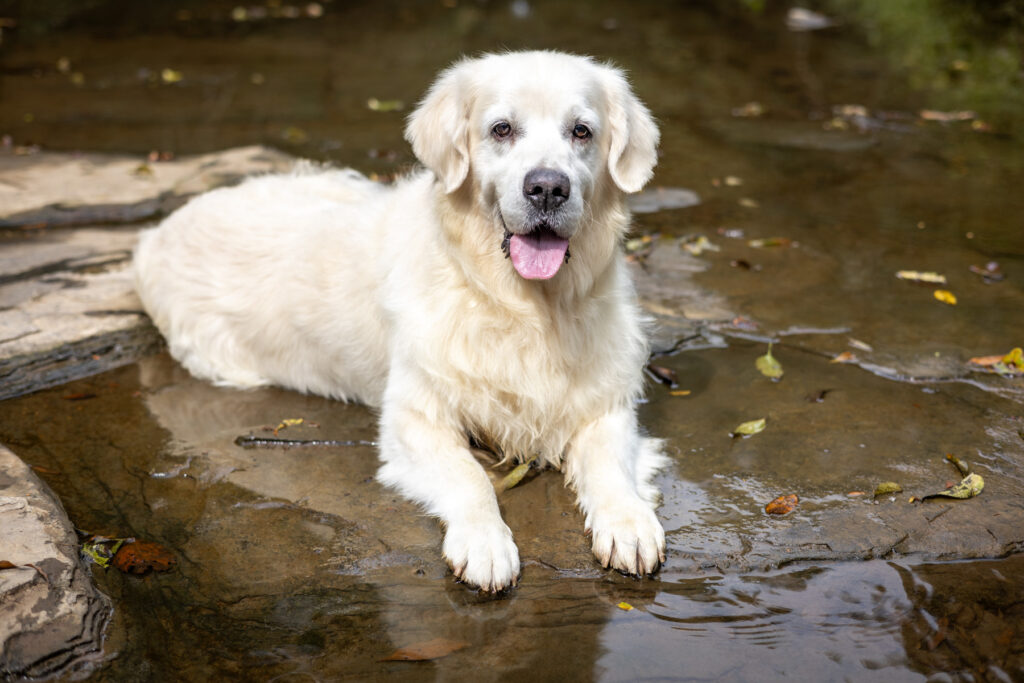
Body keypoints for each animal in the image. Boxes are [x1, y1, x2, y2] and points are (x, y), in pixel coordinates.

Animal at [134, 50, 663, 589]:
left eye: (581, 131)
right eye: (501, 129)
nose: (548, 188)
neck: (522, 305)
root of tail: (158, 232)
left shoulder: (607, 404)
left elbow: (609, 465)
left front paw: (629, 523)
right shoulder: (415, 417)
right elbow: (469, 476)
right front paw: (485, 543)